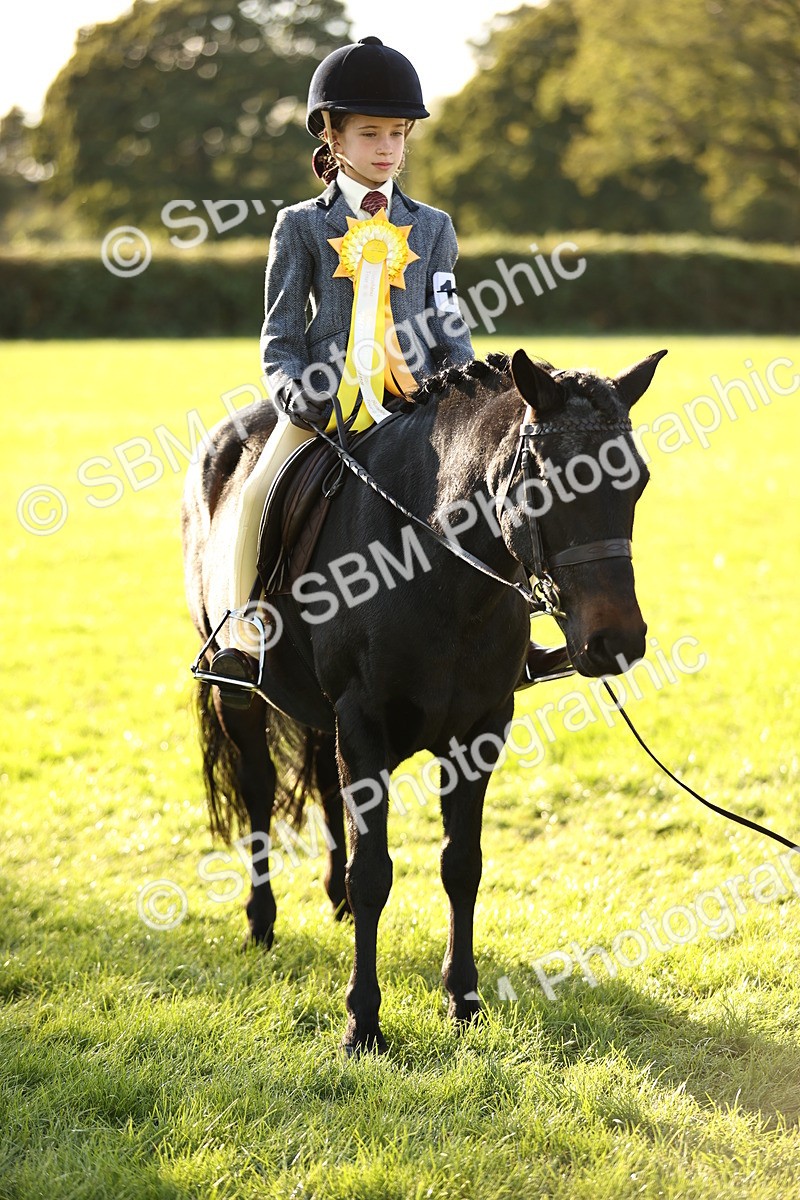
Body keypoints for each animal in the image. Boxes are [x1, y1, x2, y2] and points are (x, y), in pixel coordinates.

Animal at [181, 347, 667, 1053]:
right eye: (546, 483)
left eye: (637, 482)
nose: (617, 641)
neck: (436, 572)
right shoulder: (362, 723)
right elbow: (374, 871)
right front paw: (362, 1023)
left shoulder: (479, 731)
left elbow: (460, 864)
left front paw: (463, 1000)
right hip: (236, 694)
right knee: (257, 791)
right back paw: (261, 920)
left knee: (323, 780)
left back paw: (332, 904)